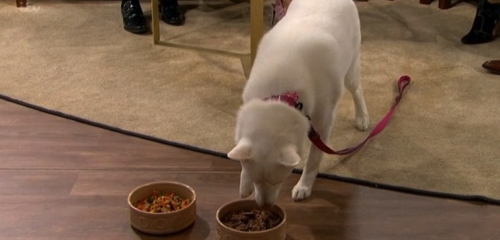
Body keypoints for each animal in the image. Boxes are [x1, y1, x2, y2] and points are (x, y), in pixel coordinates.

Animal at [227, 0, 368, 207]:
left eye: (278, 181)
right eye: (255, 181)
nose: (264, 206)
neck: (280, 97)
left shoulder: (323, 124)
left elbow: (312, 161)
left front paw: (304, 186)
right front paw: (244, 183)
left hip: (349, 71)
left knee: (357, 90)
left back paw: (362, 117)